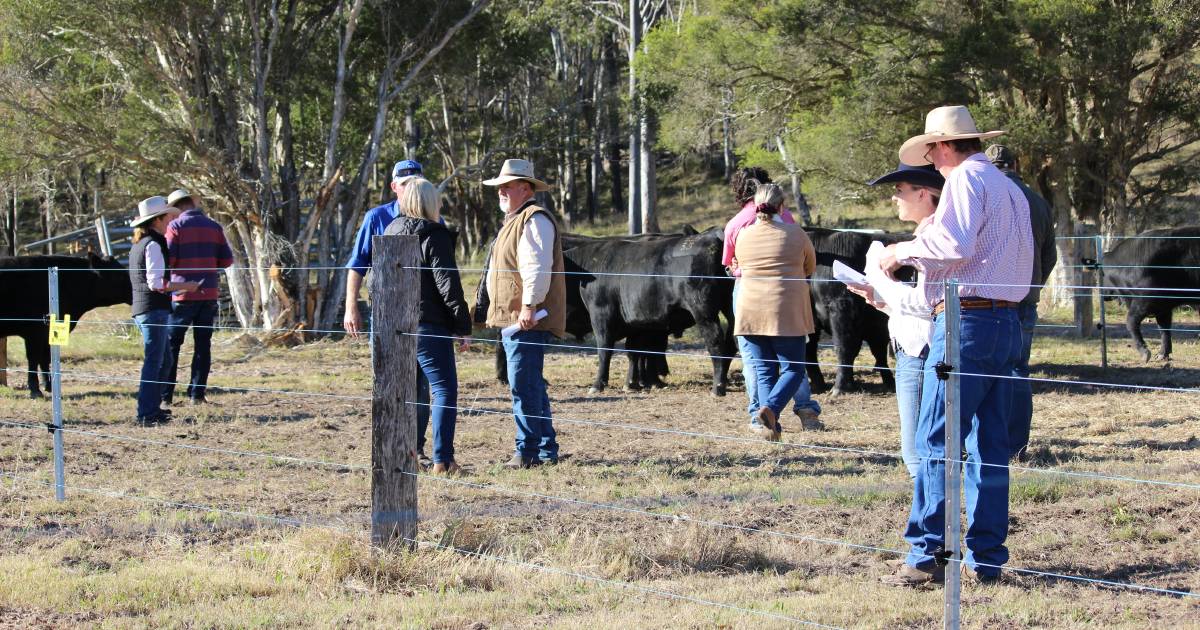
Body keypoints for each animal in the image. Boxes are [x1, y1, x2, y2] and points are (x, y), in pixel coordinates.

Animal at [0, 252, 133, 396]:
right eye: (120, 275)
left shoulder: (47, 332)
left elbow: (45, 358)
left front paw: (49, 387)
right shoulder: (34, 331)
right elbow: (33, 359)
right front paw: (35, 390)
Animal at [568, 224, 734, 393]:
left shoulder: (600, 313)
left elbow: (605, 349)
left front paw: (598, 384)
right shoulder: (637, 321)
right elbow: (635, 351)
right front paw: (632, 383)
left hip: (703, 311)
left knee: (716, 343)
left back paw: (717, 387)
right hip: (730, 309)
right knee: (731, 344)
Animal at [1099, 225, 1200, 360]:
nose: (1102, 294)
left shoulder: (1145, 301)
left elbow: (1130, 322)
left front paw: (1144, 352)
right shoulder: (1163, 307)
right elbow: (1164, 328)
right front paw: (1162, 354)